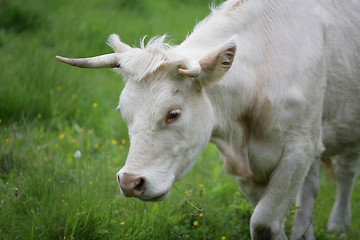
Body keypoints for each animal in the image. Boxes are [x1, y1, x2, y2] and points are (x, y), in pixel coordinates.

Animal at [57, 0, 360, 239]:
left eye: (173, 113)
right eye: (124, 112)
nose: (130, 182)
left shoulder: (299, 150)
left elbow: (264, 223)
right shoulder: (246, 165)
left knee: (346, 172)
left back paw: (339, 226)